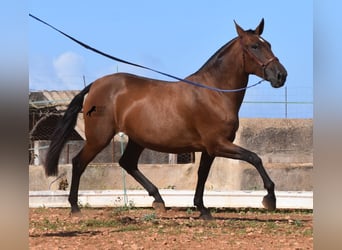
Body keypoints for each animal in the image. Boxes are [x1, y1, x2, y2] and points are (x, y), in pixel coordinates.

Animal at [44, 19, 288, 219]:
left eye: (269, 44)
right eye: (254, 46)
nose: (281, 76)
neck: (215, 93)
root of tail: (95, 85)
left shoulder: (209, 149)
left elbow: (202, 175)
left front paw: (202, 209)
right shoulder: (218, 144)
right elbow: (254, 158)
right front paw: (270, 199)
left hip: (136, 140)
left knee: (127, 163)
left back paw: (159, 200)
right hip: (99, 138)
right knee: (79, 162)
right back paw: (75, 207)